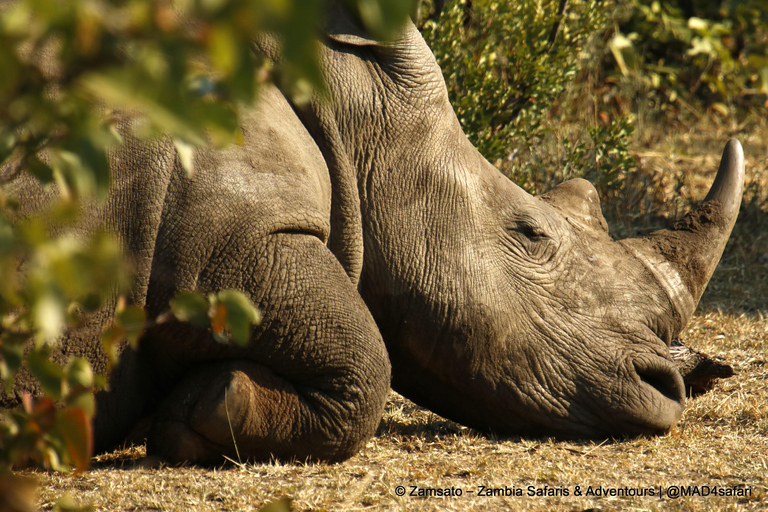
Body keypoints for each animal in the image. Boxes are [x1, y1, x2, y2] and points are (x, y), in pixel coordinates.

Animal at [3, 9, 744, 464]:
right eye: (532, 234)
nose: (667, 388)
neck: (348, 111)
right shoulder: (226, 239)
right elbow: (366, 360)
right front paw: (207, 406)